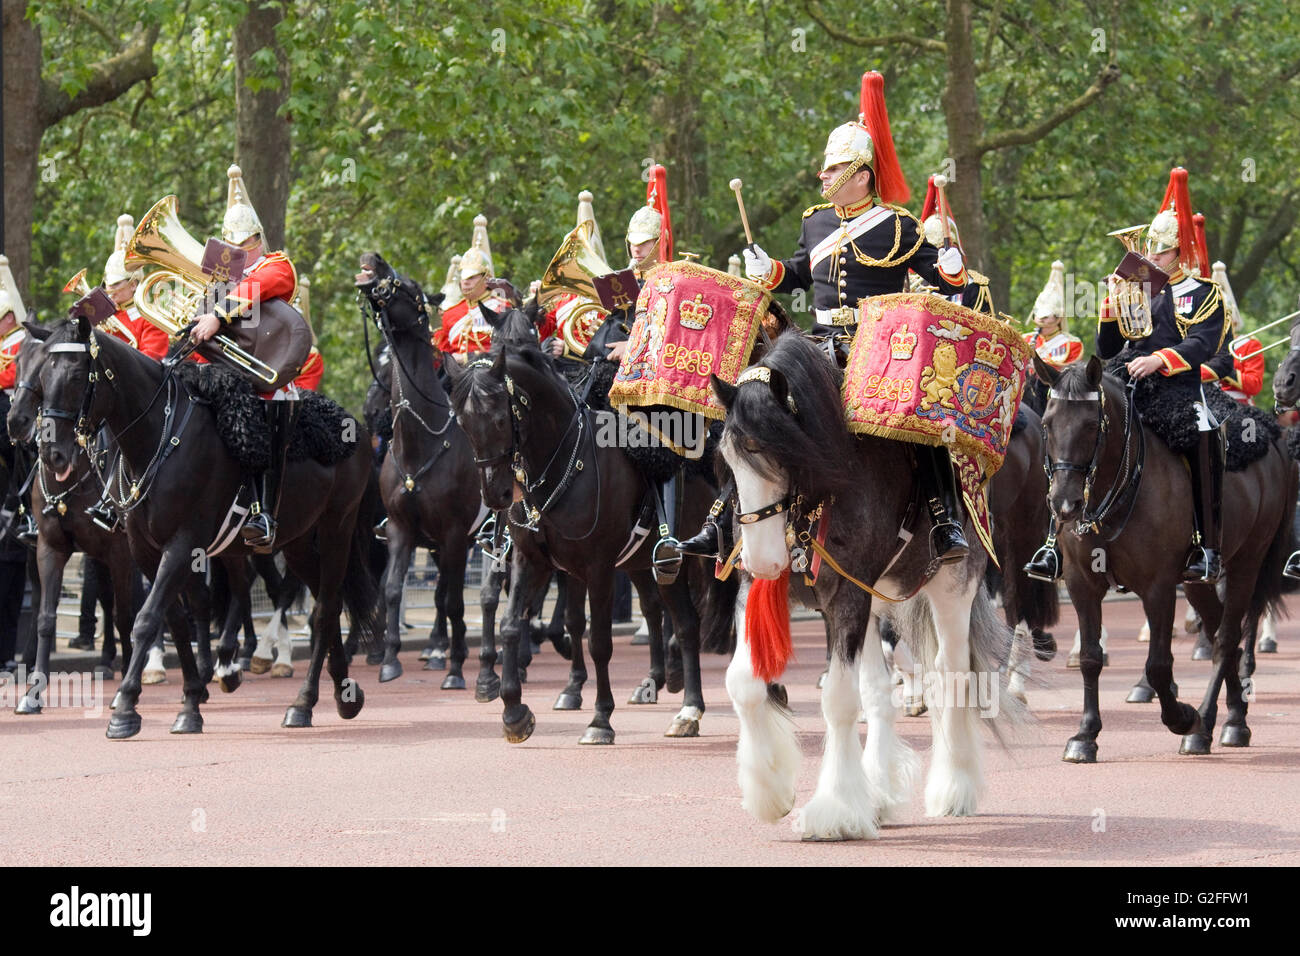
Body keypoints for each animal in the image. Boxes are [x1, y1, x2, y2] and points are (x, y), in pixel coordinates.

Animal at [31, 317, 379, 738]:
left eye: (78, 374)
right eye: (41, 376)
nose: (51, 453)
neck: (158, 437)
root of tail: (355, 427)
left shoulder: (182, 544)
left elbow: (146, 619)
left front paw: (126, 708)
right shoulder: (145, 549)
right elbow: (175, 620)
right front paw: (190, 703)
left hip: (335, 530)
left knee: (325, 607)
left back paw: (302, 701)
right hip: (296, 541)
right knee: (322, 602)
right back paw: (343, 694)